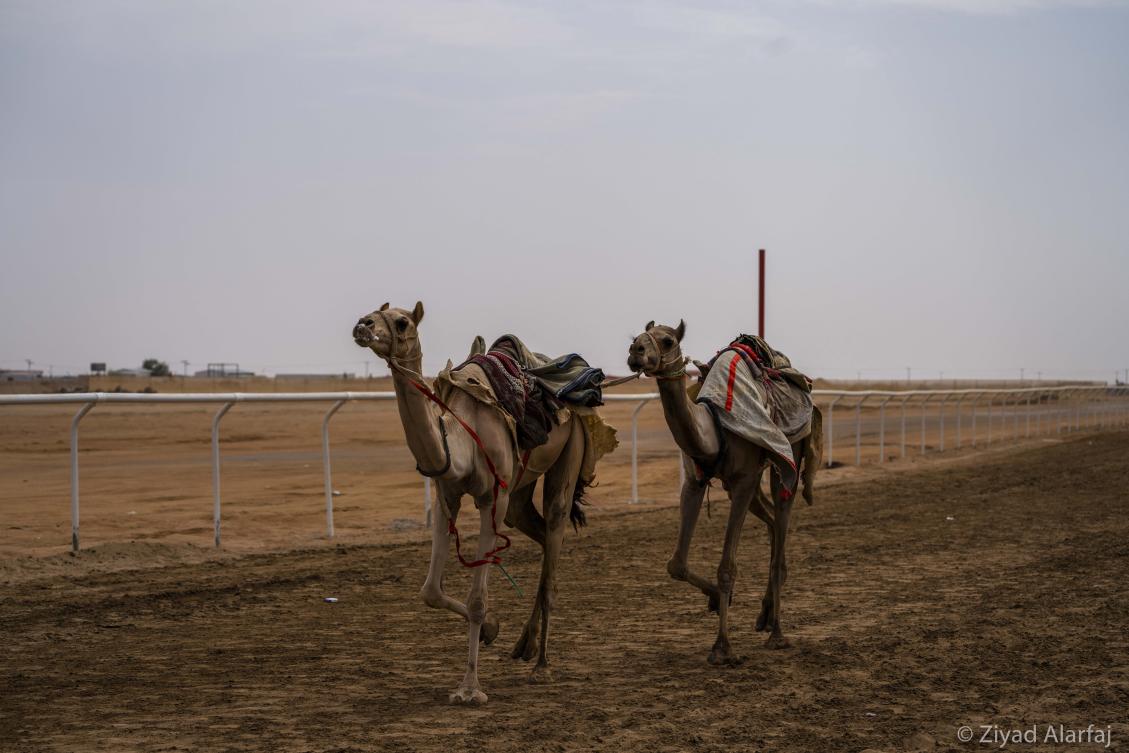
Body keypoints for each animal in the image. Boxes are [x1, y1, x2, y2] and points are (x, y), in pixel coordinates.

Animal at [352, 302, 590, 704]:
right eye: (372, 312)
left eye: (402, 322)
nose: (362, 326)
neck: (460, 440)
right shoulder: (446, 495)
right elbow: (430, 591)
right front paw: (492, 628)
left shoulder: (492, 499)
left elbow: (477, 598)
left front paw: (470, 688)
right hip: (519, 494)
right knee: (544, 543)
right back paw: (523, 646)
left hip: (567, 453)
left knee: (555, 531)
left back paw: (542, 665)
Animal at [627, 320, 821, 664]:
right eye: (636, 335)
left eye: (667, 340)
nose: (635, 351)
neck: (712, 432)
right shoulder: (695, 482)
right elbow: (676, 564)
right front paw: (717, 600)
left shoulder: (743, 480)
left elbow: (727, 568)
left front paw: (722, 648)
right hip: (750, 483)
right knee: (772, 524)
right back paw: (764, 615)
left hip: (788, 458)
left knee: (781, 521)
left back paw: (777, 633)